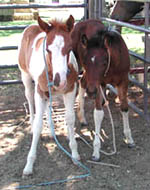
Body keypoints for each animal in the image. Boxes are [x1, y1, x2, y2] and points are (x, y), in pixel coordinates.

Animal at [18, 15, 80, 176]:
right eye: (47, 49)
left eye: (69, 48)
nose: (60, 81)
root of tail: (32, 26)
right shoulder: (39, 92)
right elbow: (39, 124)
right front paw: (29, 164)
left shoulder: (70, 90)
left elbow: (70, 119)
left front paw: (74, 154)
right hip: (26, 77)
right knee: (29, 99)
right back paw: (32, 124)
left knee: (48, 107)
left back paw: (52, 132)